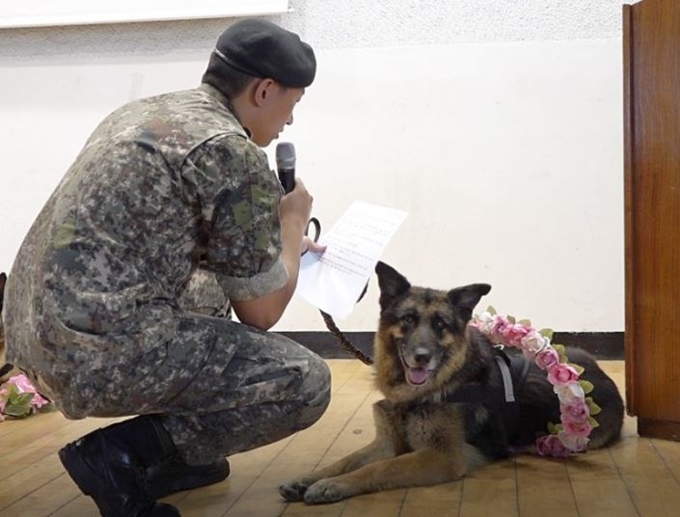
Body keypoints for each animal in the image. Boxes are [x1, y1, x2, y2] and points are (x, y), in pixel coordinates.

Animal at [278, 260, 624, 502]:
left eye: (441, 324)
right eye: (408, 320)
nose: (421, 357)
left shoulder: (441, 457)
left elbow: (379, 468)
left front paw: (332, 485)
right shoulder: (386, 443)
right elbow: (347, 460)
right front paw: (313, 477)